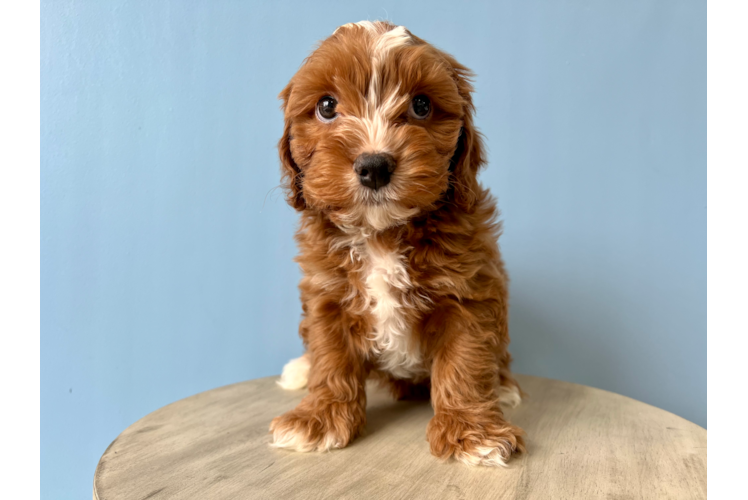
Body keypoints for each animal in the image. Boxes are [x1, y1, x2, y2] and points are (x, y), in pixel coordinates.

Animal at [270, 19, 524, 464]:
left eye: (421, 105)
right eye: (326, 106)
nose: (374, 165)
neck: (381, 235)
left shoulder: (469, 292)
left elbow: (465, 360)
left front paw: (472, 432)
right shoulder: (326, 293)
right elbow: (330, 356)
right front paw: (319, 418)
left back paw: (505, 385)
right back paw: (300, 369)